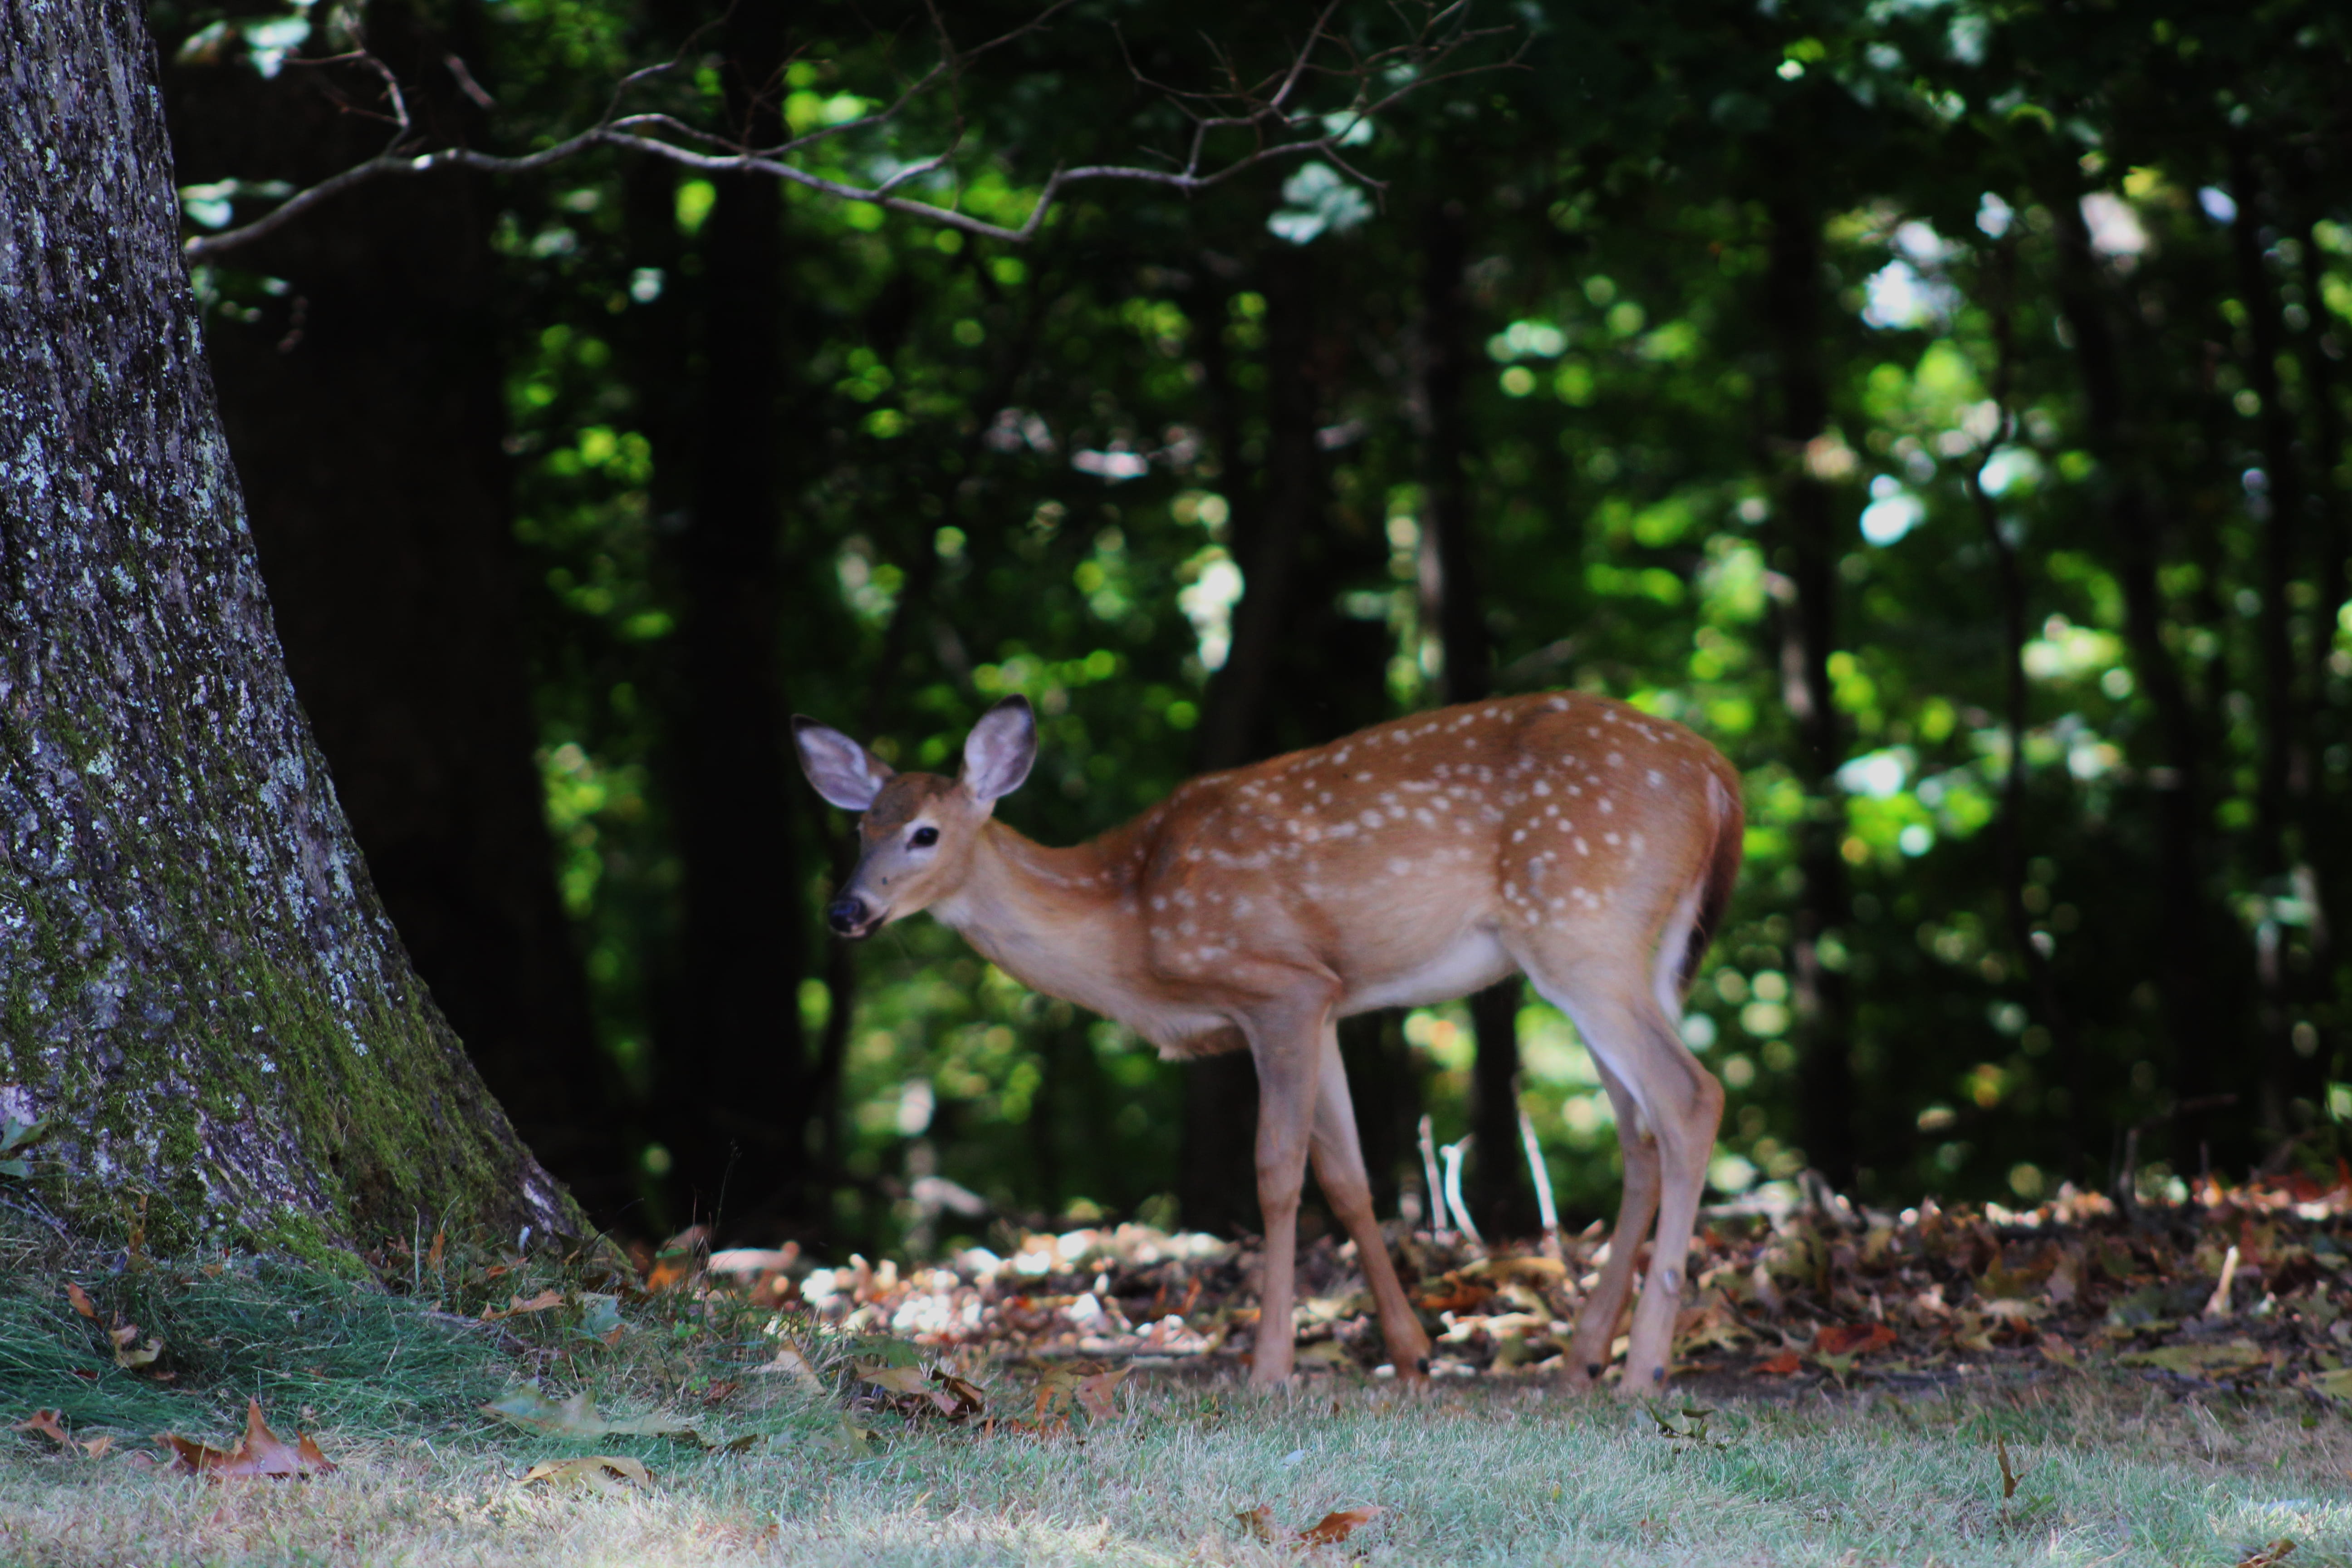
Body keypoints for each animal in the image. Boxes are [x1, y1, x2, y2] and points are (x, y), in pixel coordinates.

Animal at [793, 689, 1742, 1393]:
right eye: (859, 828)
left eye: (925, 834)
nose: (844, 910)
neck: (1133, 923)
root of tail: (1716, 777)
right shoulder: (1330, 1001)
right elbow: (1349, 1176)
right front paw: (1412, 1353)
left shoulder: (1279, 987)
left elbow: (1278, 1173)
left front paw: (1271, 1368)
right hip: (1623, 955)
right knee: (1640, 1135)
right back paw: (1582, 1359)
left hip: (1580, 930)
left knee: (1689, 1097)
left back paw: (1642, 1371)